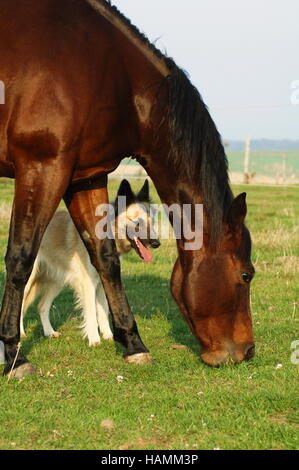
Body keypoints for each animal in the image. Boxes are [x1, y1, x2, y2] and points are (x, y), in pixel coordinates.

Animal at [20, 179, 162, 346]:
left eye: (152, 222)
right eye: (138, 222)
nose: (157, 243)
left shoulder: (103, 281)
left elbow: (103, 311)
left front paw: (108, 336)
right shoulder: (88, 283)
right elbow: (92, 313)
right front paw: (94, 340)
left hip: (57, 280)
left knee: (42, 306)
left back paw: (49, 332)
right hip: (29, 278)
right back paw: (20, 333)